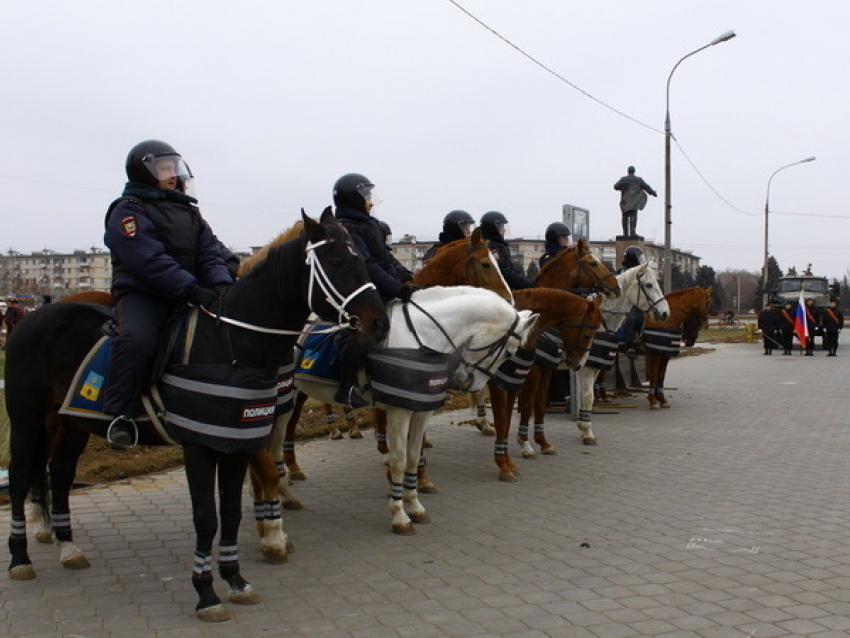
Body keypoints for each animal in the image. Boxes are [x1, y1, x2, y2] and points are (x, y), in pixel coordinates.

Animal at [2, 211, 388, 624]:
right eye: (335, 261)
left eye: (360, 257)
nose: (379, 322)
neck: (231, 344)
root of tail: (31, 319)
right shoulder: (199, 445)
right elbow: (213, 513)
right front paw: (212, 589)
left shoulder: (241, 437)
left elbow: (233, 509)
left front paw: (238, 578)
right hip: (27, 418)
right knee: (22, 476)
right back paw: (21, 557)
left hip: (72, 422)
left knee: (59, 474)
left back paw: (68, 547)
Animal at [294, 286, 532, 536]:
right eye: (509, 352)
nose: (470, 383)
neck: (421, 337)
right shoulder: (399, 412)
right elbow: (399, 460)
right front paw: (399, 515)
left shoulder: (421, 411)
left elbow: (414, 456)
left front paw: (415, 506)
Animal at [572, 262, 664, 448]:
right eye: (649, 285)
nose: (665, 313)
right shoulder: (586, 368)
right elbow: (587, 395)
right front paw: (587, 431)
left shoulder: (592, 368)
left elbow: (586, 397)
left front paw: (584, 430)